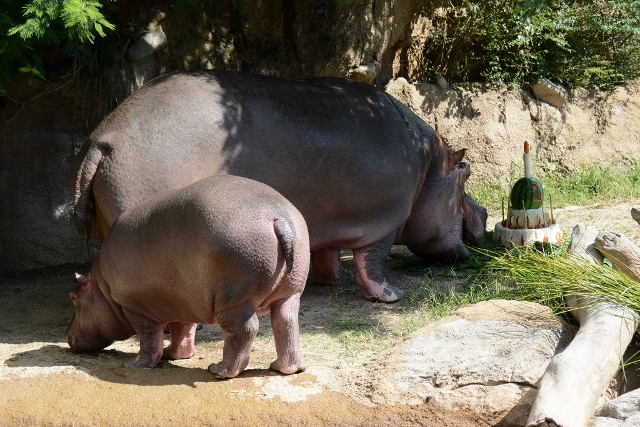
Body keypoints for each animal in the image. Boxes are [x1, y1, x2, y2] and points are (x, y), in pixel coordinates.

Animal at [65, 176, 310, 380]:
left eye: (73, 297)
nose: (66, 335)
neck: (101, 287)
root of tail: (278, 217)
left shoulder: (136, 308)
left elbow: (148, 339)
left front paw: (135, 364)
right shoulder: (181, 301)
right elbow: (182, 332)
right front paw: (172, 354)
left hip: (235, 302)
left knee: (244, 331)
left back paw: (219, 370)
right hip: (290, 292)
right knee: (286, 322)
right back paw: (284, 368)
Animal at [71, 70, 484, 302]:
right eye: (466, 170)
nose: (482, 215)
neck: (430, 164)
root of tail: (105, 136)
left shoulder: (330, 220)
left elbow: (327, 252)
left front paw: (329, 281)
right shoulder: (384, 223)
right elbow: (373, 265)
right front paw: (391, 297)